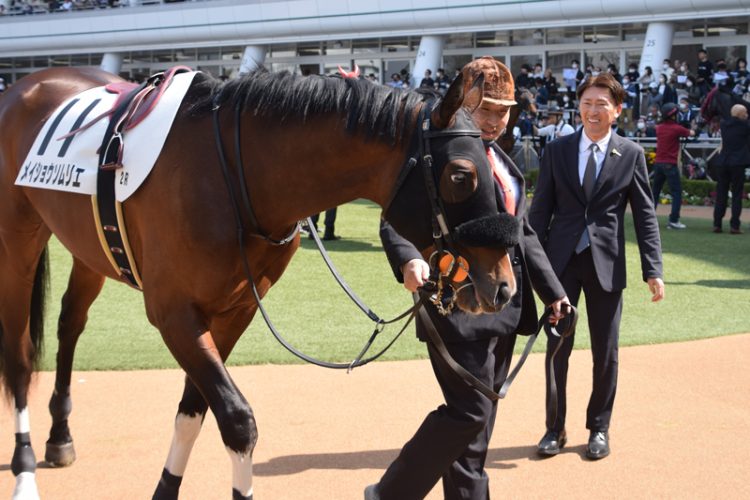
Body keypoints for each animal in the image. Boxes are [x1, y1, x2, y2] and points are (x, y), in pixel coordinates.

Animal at [0, 67, 516, 500]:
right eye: (462, 175)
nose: (505, 286)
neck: (228, 172)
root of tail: (28, 83)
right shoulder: (173, 313)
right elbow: (237, 420)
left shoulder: (236, 309)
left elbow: (193, 410)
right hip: (17, 243)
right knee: (19, 354)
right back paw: (24, 466)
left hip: (88, 247)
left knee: (70, 324)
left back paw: (59, 437)